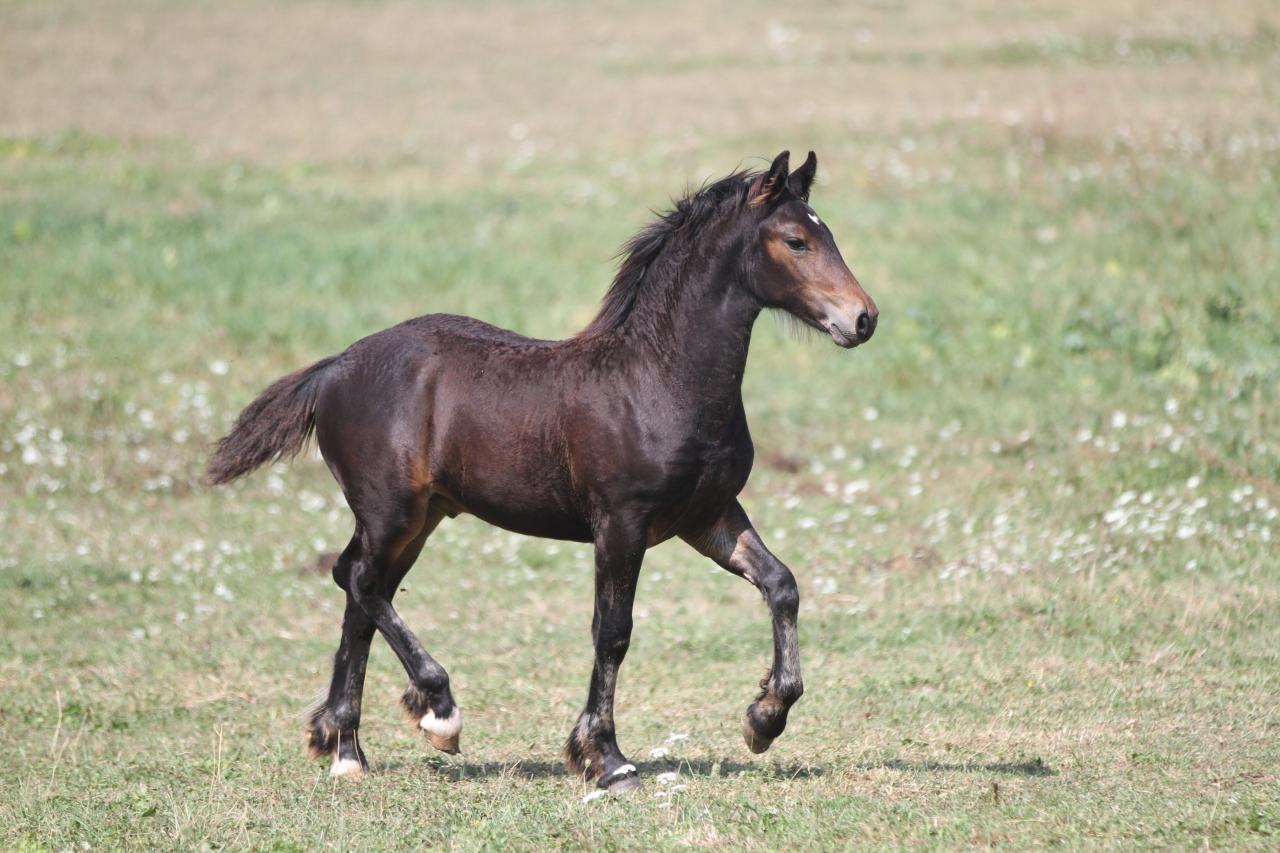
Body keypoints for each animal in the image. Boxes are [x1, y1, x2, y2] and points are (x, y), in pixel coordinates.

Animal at [209, 147, 880, 788]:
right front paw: (605, 759)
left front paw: (764, 717)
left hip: (419, 517)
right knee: (361, 582)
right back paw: (436, 711)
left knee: (359, 590)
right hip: (390, 509)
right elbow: (613, 632)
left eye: (825, 232)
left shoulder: (706, 516)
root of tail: (335, 368)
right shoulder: (621, 523)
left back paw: (346, 748)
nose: (864, 318)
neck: (658, 378)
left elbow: (782, 584)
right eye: (796, 240)